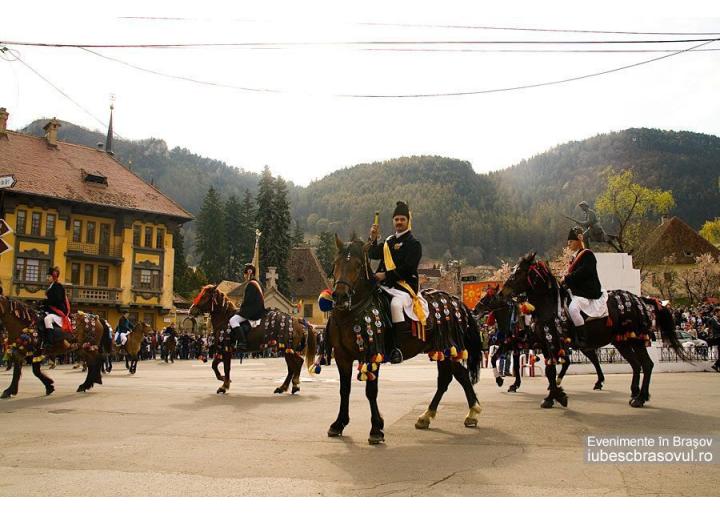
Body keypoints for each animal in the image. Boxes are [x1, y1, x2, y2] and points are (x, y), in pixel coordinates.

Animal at [188, 284, 318, 392]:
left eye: (204, 296)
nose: (191, 310)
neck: (225, 319)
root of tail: (296, 320)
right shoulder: (223, 349)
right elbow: (214, 365)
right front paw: (223, 378)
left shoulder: (226, 350)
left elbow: (226, 368)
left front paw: (224, 386)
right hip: (286, 349)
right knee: (292, 367)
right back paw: (283, 387)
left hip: (287, 349)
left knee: (297, 363)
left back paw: (294, 384)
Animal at [326, 234, 484, 442]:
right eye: (335, 263)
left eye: (359, 265)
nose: (340, 296)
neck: (350, 313)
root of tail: (457, 301)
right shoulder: (342, 356)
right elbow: (344, 390)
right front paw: (338, 424)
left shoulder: (372, 355)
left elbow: (371, 391)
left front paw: (376, 429)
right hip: (442, 349)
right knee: (450, 378)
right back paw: (429, 416)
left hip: (449, 348)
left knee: (458, 377)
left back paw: (470, 412)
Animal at [472, 286, 608, 390]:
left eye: (489, 298)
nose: (474, 310)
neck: (511, 318)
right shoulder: (512, 345)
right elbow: (502, 360)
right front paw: (511, 383)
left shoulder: (511, 344)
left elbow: (505, 362)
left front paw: (502, 381)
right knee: (592, 358)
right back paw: (598, 381)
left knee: (570, 361)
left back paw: (558, 382)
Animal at [498, 250, 684, 406]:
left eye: (519, 272)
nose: (501, 293)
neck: (547, 305)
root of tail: (639, 298)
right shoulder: (544, 343)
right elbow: (550, 371)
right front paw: (556, 396)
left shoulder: (552, 342)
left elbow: (551, 369)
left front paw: (554, 397)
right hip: (621, 341)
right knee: (635, 364)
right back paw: (634, 393)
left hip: (636, 339)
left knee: (646, 364)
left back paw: (640, 398)